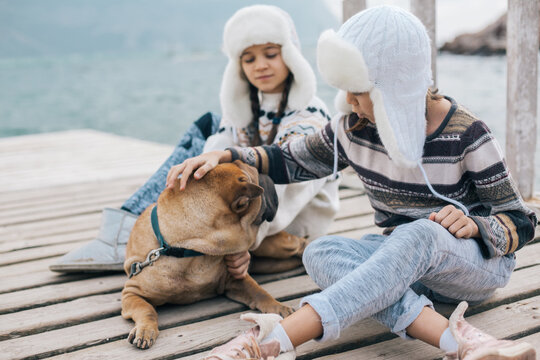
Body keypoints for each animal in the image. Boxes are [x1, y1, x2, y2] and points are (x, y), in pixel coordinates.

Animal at [122, 160, 296, 348]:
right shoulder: (132, 293)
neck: (187, 249)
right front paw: (146, 330)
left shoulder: (234, 278)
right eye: (257, 175)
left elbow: (259, 291)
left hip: (277, 246)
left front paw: (278, 306)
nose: (268, 175)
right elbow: (146, 309)